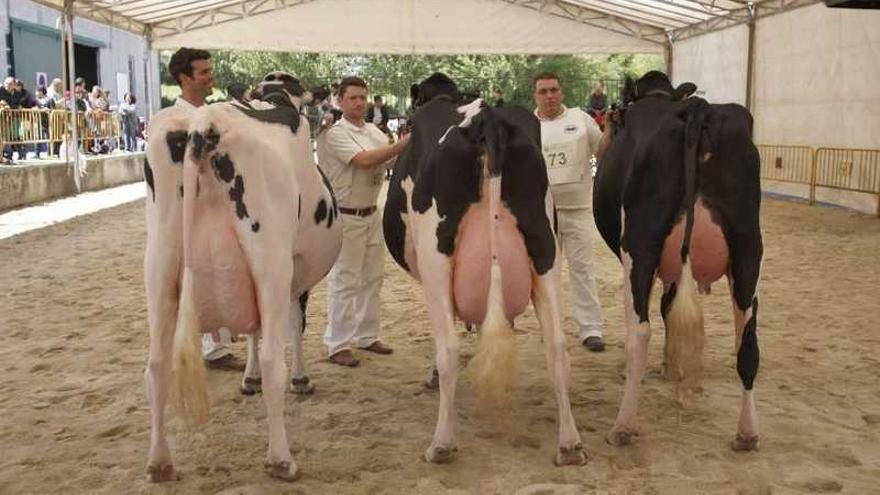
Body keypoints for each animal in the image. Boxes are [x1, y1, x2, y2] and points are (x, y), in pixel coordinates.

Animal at [144, 71, 340, 482]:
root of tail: (204, 122)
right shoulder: (293, 274)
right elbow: (293, 327)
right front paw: (300, 379)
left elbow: (251, 328)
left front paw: (247, 379)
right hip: (270, 263)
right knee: (272, 359)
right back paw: (281, 459)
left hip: (159, 264)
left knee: (155, 365)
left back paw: (159, 462)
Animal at [384, 75, 584, 466]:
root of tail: (486, 117)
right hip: (546, 249)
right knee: (557, 345)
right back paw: (569, 443)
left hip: (436, 261)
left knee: (448, 348)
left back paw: (441, 444)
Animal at [596, 71, 768, 452]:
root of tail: (697, 109)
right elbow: (669, 307)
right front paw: (671, 365)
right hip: (748, 247)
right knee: (747, 342)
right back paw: (747, 433)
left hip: (639, 245)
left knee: (639, 332)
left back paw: (622, 426)